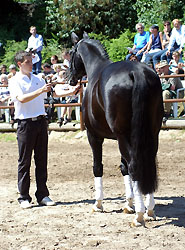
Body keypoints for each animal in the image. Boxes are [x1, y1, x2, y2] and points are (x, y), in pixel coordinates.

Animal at [68, 32, 163, 226]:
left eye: (71, 52)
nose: (70, 78)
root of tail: (137, 72)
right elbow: (123, 167)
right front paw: (128, 204)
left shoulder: (94, 136)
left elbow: (98, 167)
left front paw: (98, 204)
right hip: (149, 134)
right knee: (145, 163)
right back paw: (149, 210)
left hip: (122, 136)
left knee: (135, 166)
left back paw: (139, 216)